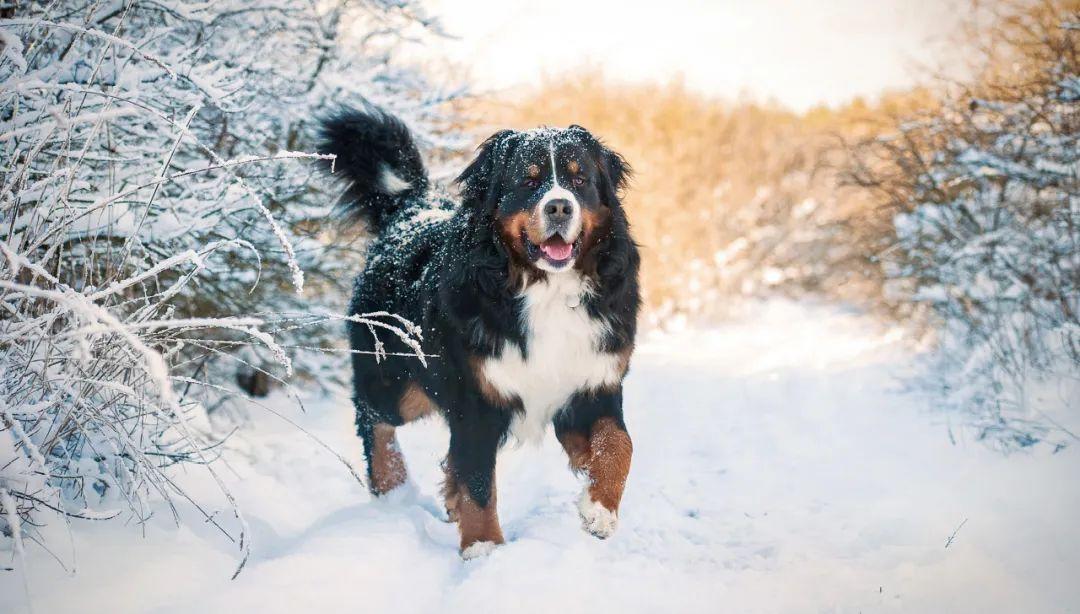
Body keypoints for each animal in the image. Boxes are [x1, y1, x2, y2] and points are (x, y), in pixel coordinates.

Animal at [319, 103, 639, 556]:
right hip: (400, 385)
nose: (560, 207)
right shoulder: (476, 399)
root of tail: (412, 208)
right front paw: (483, 548)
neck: (546, 289)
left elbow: (618, 446)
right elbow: (478, 483)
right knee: (373, 418)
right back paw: (393, 488)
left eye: (581, 180)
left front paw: (599, 511)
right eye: (528, 180)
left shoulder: (594, 383)